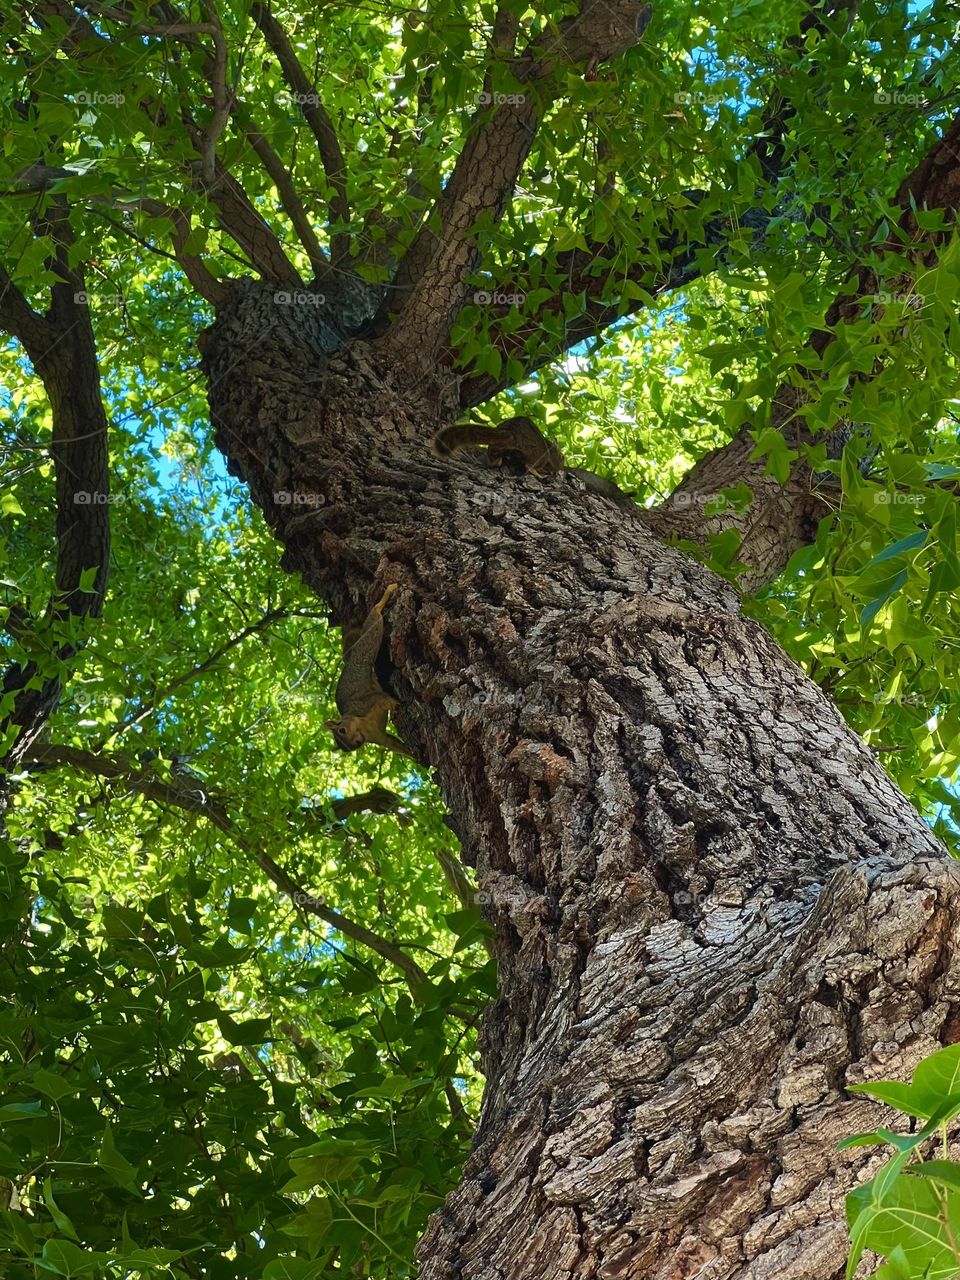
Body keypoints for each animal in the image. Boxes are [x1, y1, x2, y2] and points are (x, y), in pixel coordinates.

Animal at [325, 584, 417, 762]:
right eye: (347, 749)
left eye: (342, 730)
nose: (358, 743)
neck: (363, 725)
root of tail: (350, 659)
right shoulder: (378, 737)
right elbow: (393, 743)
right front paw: (416, 756)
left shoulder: (365, 704)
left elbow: (383, 698)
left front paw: (394, 704)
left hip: (365, 649)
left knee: (374, 620)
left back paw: (385, 596)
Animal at [431, 416, 565, 478]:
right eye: (562, 457)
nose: (562, 467)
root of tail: (512, 433)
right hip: (537, 452)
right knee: (529, 465)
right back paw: (538, 473)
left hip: (499, 446)